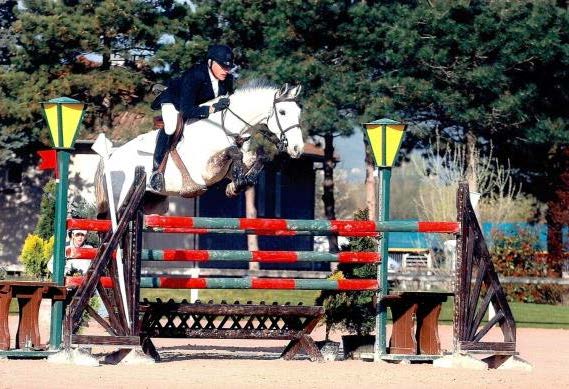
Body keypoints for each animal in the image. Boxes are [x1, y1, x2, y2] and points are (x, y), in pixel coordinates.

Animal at [95, 81, 304, 218]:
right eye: (283, 112)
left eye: (299, 113)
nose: (297, 149)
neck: (224, 126)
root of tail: (110, 159)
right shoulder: (206, 172)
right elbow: (233, 151)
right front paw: (237, 183)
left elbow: (258, 159)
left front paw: (239, 184)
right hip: (120, 201)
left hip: (152, 202)